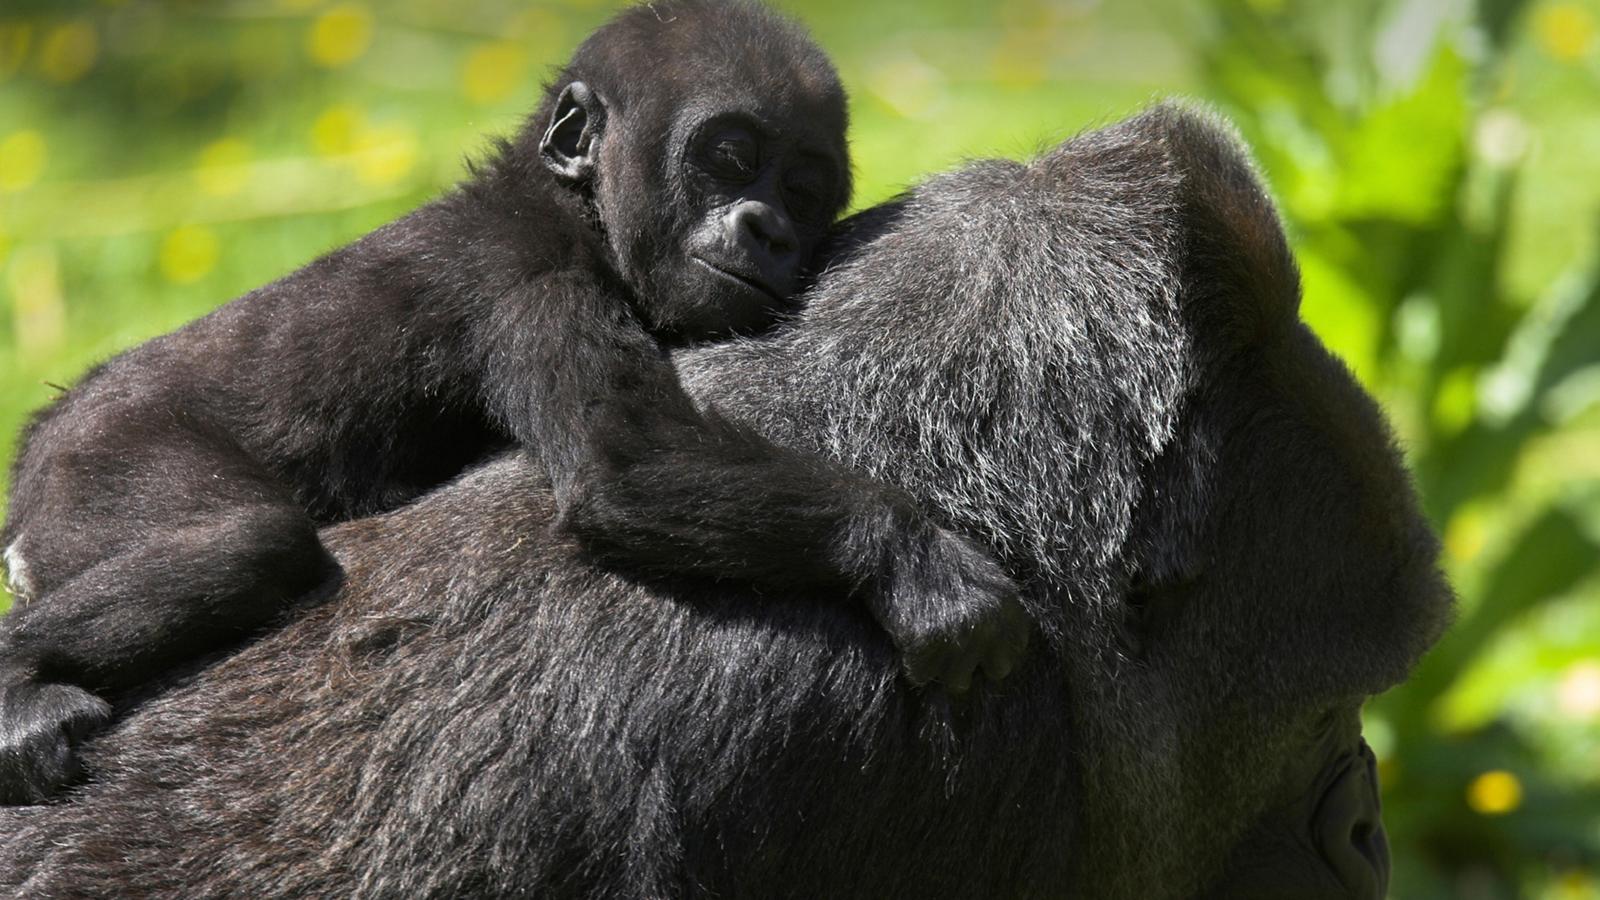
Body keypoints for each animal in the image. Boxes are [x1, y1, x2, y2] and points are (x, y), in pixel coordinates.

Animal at [0, 0, 1024, 797]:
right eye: (730, 158)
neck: (568, 200)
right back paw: (20, 675)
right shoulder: (527, 282)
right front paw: (905, 553)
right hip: (99, 456)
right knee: (251, 541)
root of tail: (43, 435)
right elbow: (626, 464)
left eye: (805, 189)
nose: (769, 228)